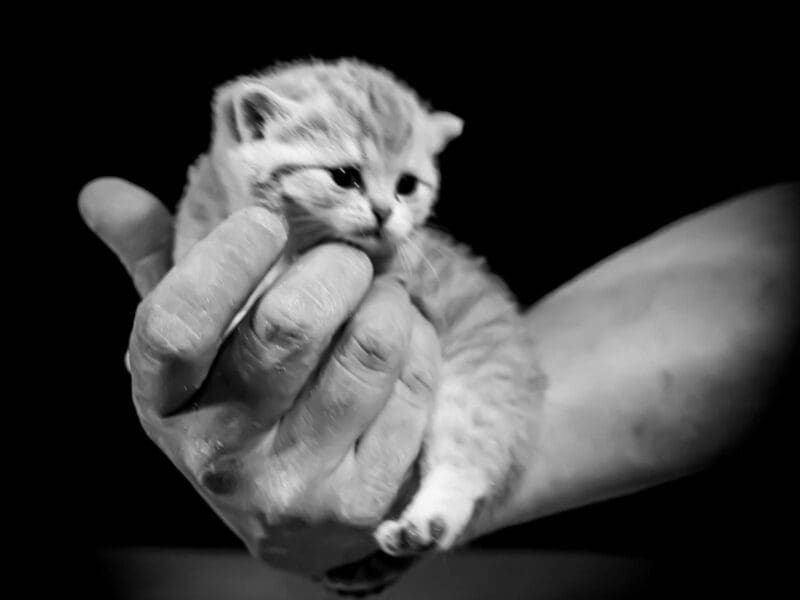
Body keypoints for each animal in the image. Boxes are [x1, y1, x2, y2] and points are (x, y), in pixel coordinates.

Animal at [175, 57, 536, 580]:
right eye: (345, 176)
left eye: (407, 185)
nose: (385, 212)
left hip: (481, 375)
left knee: (467, 455)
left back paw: (425, 524)